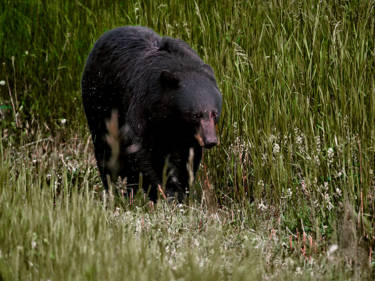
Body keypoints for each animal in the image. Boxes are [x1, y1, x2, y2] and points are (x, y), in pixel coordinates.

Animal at [82, 25, 222, 201]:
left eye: (214, 114)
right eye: (195, 115)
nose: (210, 140)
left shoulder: (187, 137)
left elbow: (188, 159)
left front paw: (181, 192)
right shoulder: (142, 106)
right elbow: (139, 151)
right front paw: (164, 191)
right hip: (99, 104)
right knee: (105, 150)